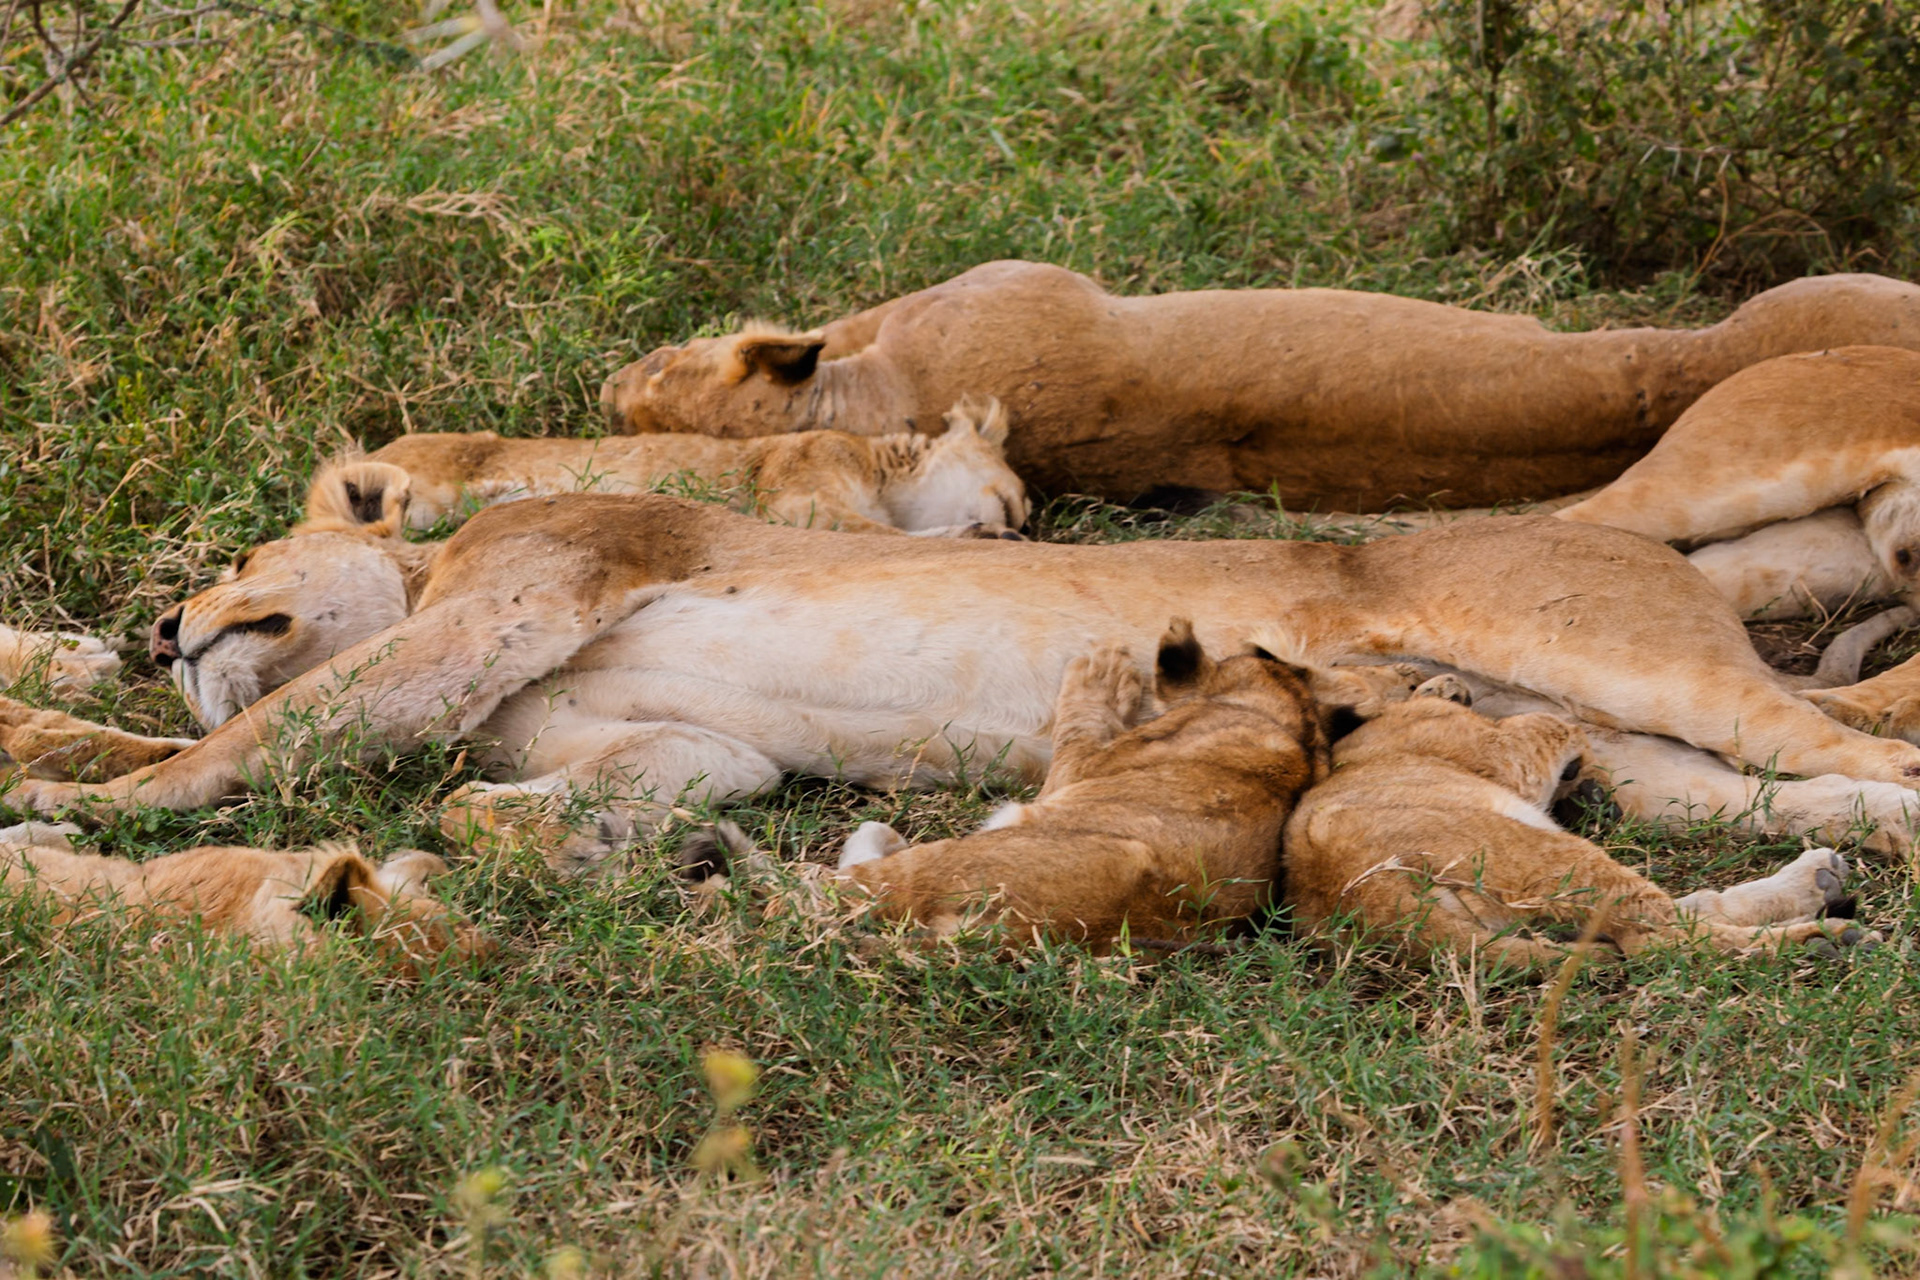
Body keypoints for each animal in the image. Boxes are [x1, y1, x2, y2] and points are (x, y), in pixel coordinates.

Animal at [1283, 687, 1871, 967]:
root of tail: (1363, 902)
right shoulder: (1506, 746)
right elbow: (1558, 724)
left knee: (1667, 918)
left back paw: (1818, 883)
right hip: (1544, 856)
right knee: (1657, 940)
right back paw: (1822, 939)